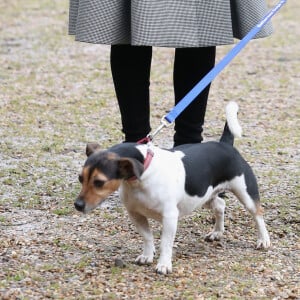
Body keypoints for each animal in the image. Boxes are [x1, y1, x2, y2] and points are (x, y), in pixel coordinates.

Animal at [74, 102, 270, 274]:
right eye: (80, 178)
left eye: (99, 182)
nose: (77, 205)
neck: (141, 178)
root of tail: (224, 144)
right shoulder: (136, 214)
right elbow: (147, 237)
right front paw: (147, 256)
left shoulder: (169, 217)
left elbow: (165, 244)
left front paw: (163, 265)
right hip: (203, 196)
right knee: (220, 205)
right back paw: (217, 232)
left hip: (245, 193)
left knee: (257, 214)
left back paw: (263, 240)